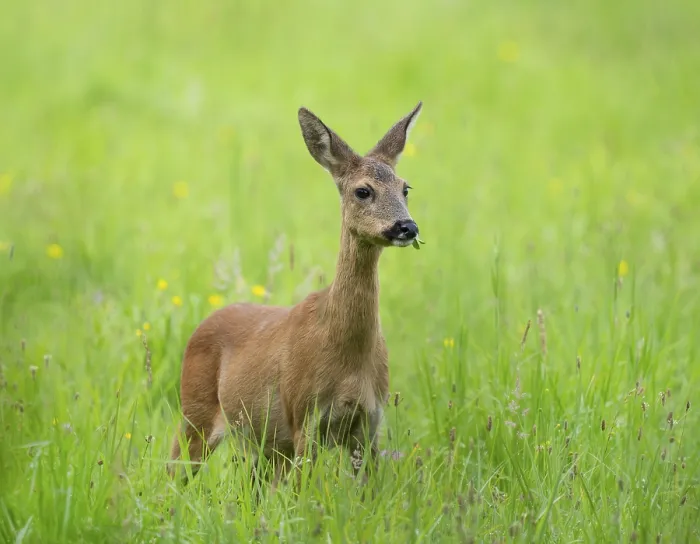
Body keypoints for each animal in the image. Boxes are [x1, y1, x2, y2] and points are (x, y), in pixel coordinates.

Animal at [168, 101, 423, 488]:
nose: (407, 227)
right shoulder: (304, 415)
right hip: (196, 413)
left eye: (405, 188)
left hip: (268, 445)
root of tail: (203, 323)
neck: (347, 354)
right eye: (363, 191)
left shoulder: (370, 423)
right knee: (171, 469)